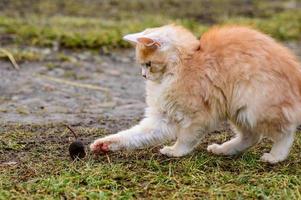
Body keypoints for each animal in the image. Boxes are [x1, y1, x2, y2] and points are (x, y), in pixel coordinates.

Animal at [90, 24, 300, 163]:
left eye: (148, 64)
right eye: (142, 65)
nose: (143, 75)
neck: (183, 64)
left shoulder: (196, 116)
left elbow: (186, 138)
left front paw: (175, 151)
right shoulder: (162, 117)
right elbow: (133, 135)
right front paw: (104, 144)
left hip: (255, 108)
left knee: (285, 133)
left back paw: (275, 156)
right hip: (238, 110)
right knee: (252, 136)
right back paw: (223, 150)